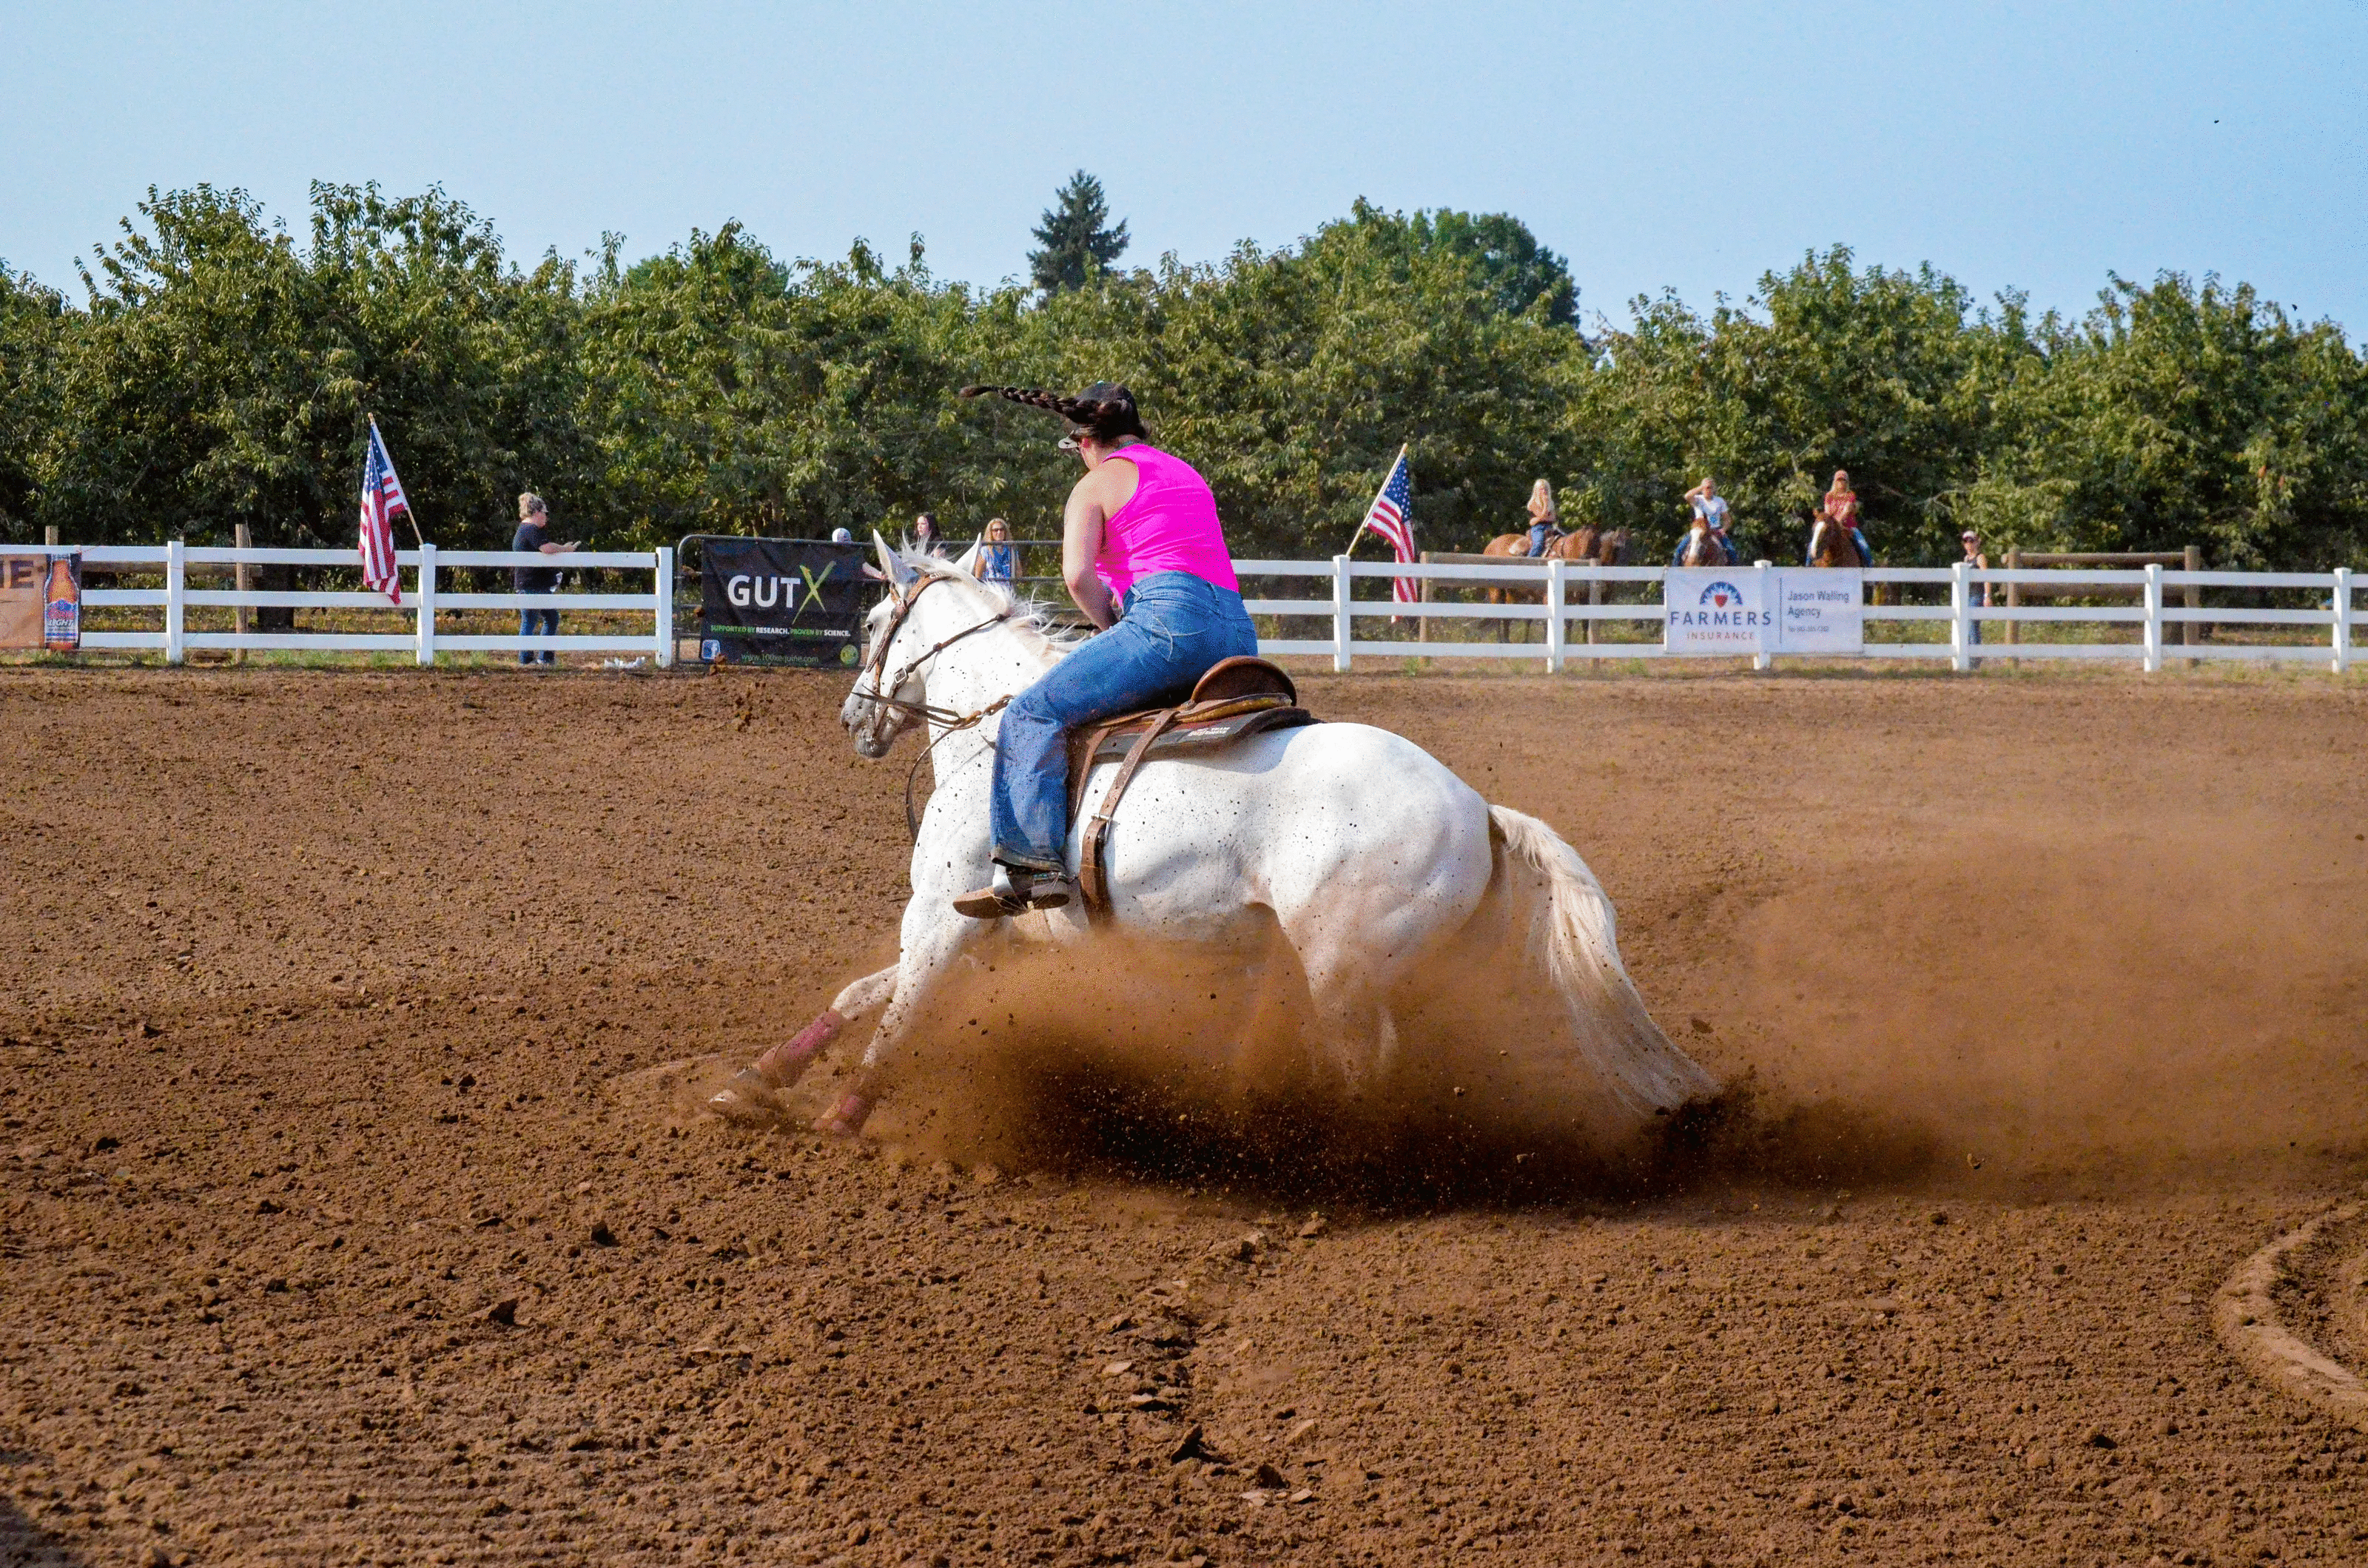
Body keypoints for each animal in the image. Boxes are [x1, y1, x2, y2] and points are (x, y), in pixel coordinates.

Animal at [709, 534, 1717, 1151]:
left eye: (874, 622)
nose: (854, 719)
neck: (991, 728)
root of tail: (1478, 807)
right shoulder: (990, 930)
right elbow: (860, 993)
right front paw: (753, 1081)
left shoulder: (944, 916)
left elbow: (899, 1016)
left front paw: (841, 1118)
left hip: (1341, 966)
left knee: (1365, 1068)